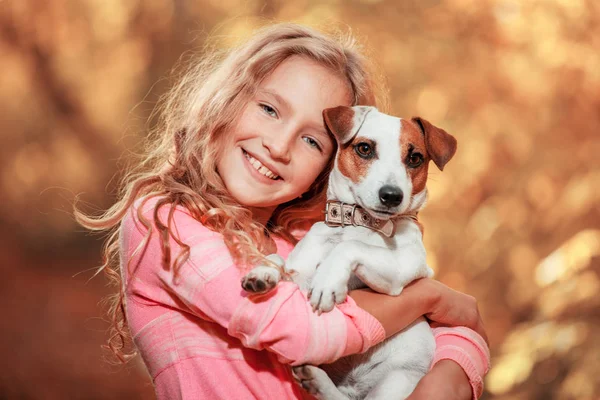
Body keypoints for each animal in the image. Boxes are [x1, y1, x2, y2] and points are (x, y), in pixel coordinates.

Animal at [241, 105, 458, 400]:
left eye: (415, 158)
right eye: (364, 148)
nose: (392, 196)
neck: (358, 223)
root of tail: (355, 387)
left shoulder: (403, 268)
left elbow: (350, 247)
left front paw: (327, 282)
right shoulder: (300, 271)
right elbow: (279, 260)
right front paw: (263, 273)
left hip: (397, 382)